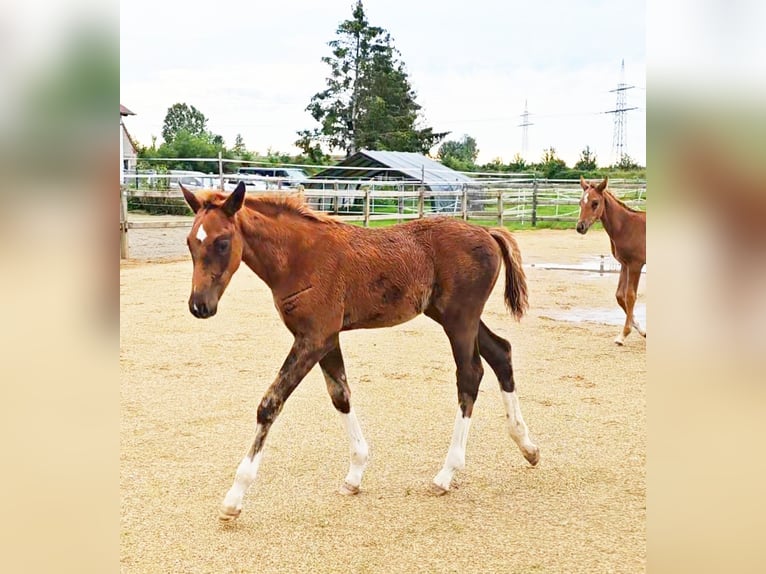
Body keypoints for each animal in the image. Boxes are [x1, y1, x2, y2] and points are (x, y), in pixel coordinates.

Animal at [182, 183, 540, 520]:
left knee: (470, 374)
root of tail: (487, 232)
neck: (300, 257)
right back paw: (527, 446)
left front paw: (234, 498)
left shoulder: (313, 339)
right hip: (452, 316)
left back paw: (447, 472)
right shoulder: (326, 339)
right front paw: (354, 474)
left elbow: (270, 403)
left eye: (222, 242)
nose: (199, 306)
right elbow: (340, 395)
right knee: (501, 353)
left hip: (460, 320)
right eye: (189, 243)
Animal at [576, 177, 648, 346]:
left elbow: (630, 296)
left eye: (595, 202)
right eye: (580, 202)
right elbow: (620, 296)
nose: (580, 227)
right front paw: (642, 331)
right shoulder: (625, 264)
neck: (627, 226)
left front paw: (623, 335)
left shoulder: (635, 265)